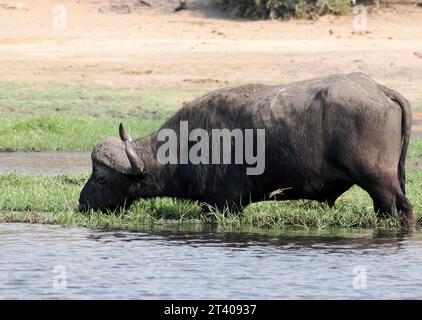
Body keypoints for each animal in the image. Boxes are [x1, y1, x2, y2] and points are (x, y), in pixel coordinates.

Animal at [79, 73, 416, 225]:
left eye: (101, 177)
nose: (82, 204)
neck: (189, 143)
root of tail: (380, 90)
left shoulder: (224, 204)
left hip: (379, 181)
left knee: (403, 209)